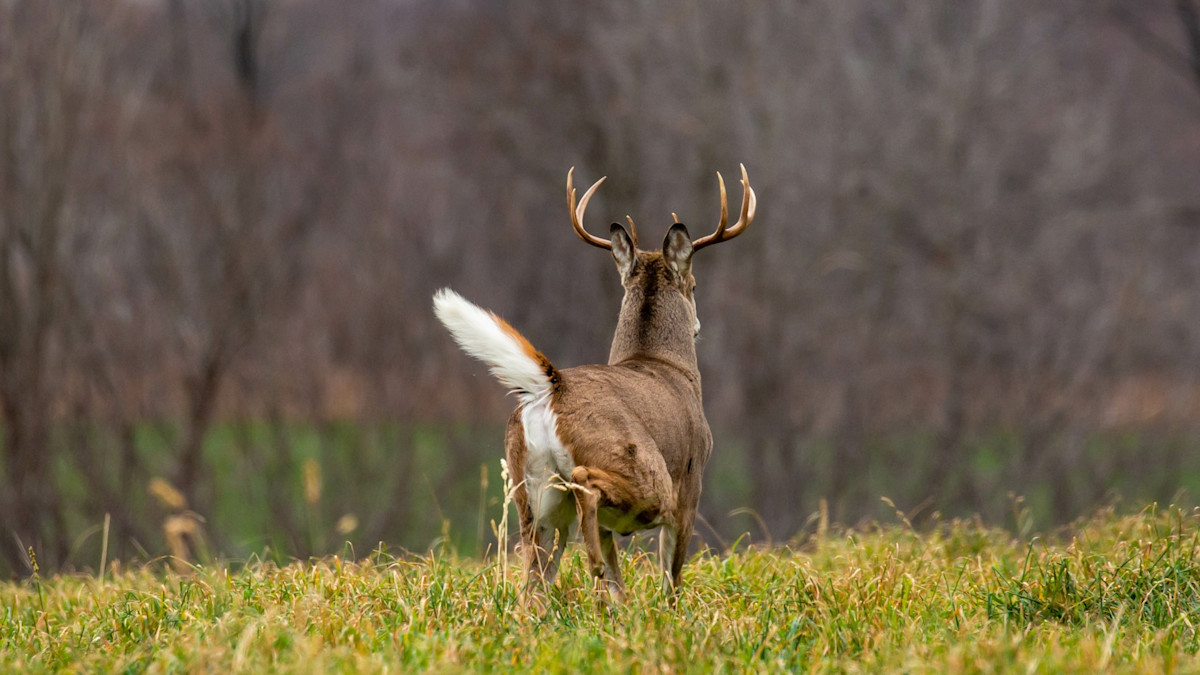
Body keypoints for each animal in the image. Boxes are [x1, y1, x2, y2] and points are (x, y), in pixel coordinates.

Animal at [433, 165, 756, 604]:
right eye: (695, 285)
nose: (699, 325)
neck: (665, 366)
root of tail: (554, 385)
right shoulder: (692, 483)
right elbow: (671, 577)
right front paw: (666, 613)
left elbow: (621, 583)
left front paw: (621, 609)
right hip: (642, 471)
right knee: (586, 485)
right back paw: (593, 567)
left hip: (532, 496)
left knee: (533, 583)